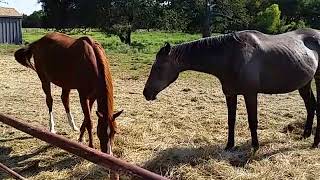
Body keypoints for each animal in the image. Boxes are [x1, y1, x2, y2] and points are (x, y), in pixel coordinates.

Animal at [144, 27, 320, 149]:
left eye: (158, 67)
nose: (146, 93)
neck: (232, 56)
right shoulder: (230, 94)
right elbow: (231, 120)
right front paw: (229, 145)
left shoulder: (250, 94)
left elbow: (252, 120)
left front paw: (255, 146)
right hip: (304, 83)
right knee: (311, 106)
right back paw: (305, 135)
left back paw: (315, 143)